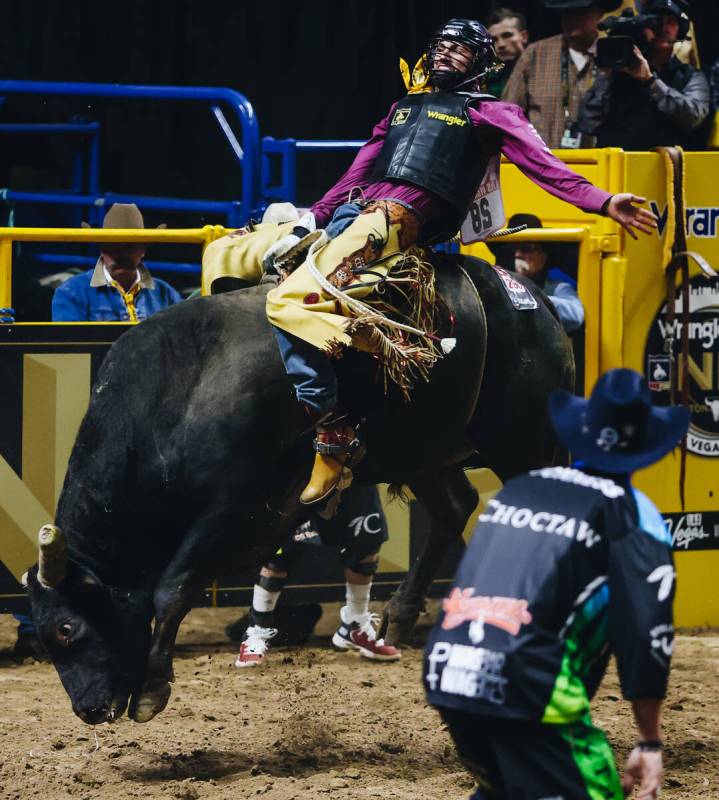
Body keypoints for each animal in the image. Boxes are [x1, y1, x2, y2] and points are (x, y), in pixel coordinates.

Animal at [25, 255, 572, 724]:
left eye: (66, 629)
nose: (89, 710)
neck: (183, 392)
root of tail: (537, 302)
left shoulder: (236, 508)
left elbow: (172, 589)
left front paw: (154, 688)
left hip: (522, 442)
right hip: (427, 448)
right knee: (455, 508)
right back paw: (399, 615)